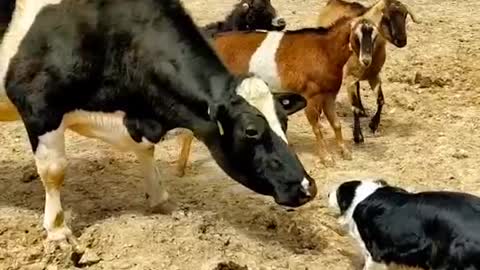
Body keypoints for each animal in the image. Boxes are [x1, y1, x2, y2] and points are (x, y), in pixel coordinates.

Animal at [0, 0, 316, 247]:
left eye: (284, 121)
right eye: (251, 131)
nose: (307, 187)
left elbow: (146, 151)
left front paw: (162, 200)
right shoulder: (40, 106)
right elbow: (54, 171)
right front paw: (58, 230)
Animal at [174, 17, 380, 177]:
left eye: (375, 36)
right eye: (356, 36)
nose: (366, 61)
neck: (324, 51)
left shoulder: (329, 94)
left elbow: (336, 124)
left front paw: (345, 152)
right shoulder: (311, 96)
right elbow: (318, 128)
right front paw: (327, 158)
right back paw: (180, 168)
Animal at [316, 0, 418, 143]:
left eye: (405, 15)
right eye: (387, 17)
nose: (402, 40)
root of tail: (333, 3)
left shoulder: (374, 75)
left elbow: (380, 100)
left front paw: (373, 125)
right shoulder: (350, 77)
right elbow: (355, 108)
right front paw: (357, 136)